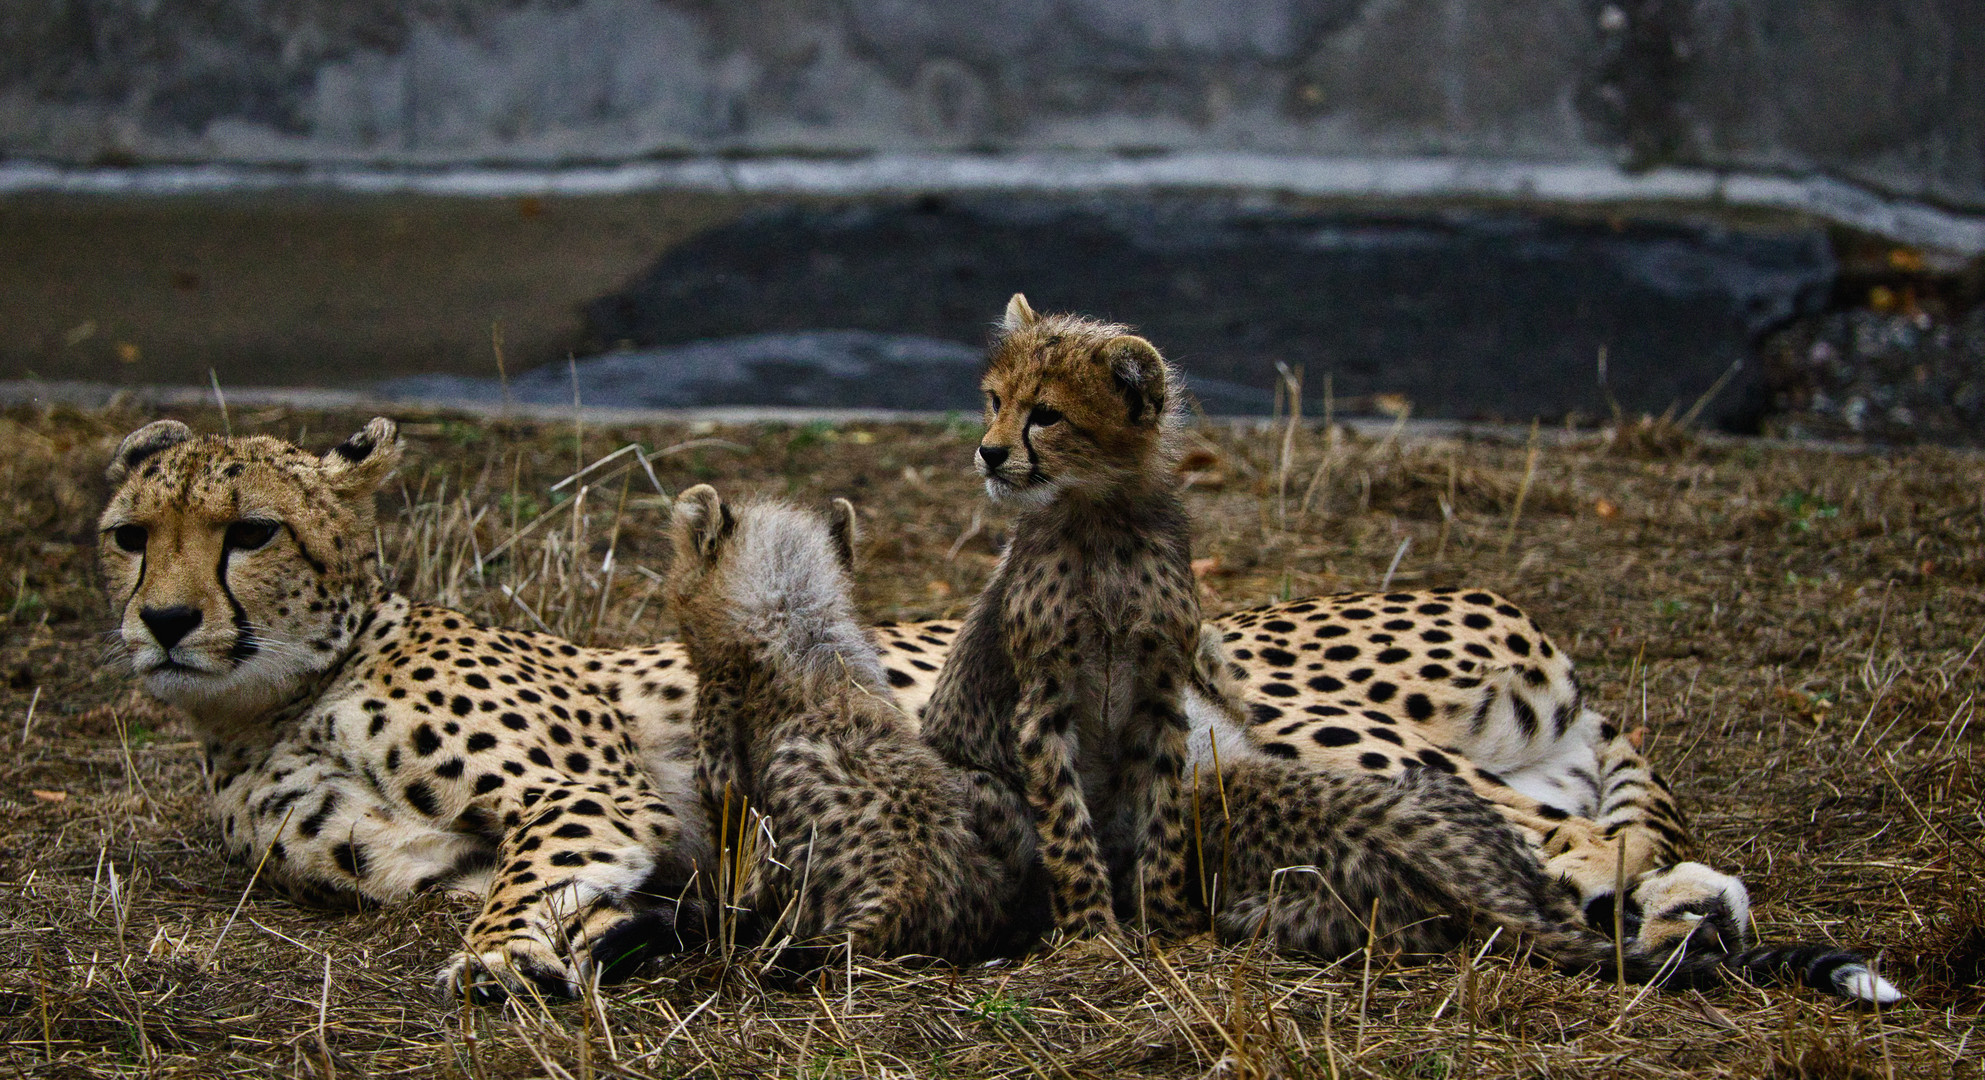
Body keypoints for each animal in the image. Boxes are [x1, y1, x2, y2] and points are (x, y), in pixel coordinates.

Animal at [96, 414, 714, 1004]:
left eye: (252, 532)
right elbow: (556, 888)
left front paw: (496, 955)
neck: (280, 706)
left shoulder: (597, 795)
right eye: (130, 537)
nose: (166, 620)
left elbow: (529, 870)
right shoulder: (423, 859)